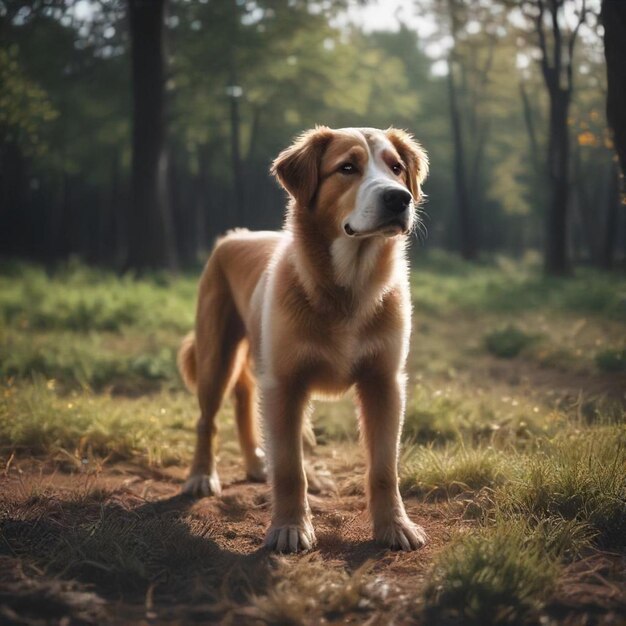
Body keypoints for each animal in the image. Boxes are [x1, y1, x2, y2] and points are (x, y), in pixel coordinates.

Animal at [178, 125, 426, 552]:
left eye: (396, 168)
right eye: (347, 168)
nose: (399, 198)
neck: (348, 288)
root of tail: (234, 235)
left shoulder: (385, 382)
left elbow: (384, 468)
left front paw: (395, 527)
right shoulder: (285, 384)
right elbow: (291, 468)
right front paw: (290, 528)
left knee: (244, 400)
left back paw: (256, 463)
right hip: (215, 356)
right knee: (206, 419)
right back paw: (201, 476)